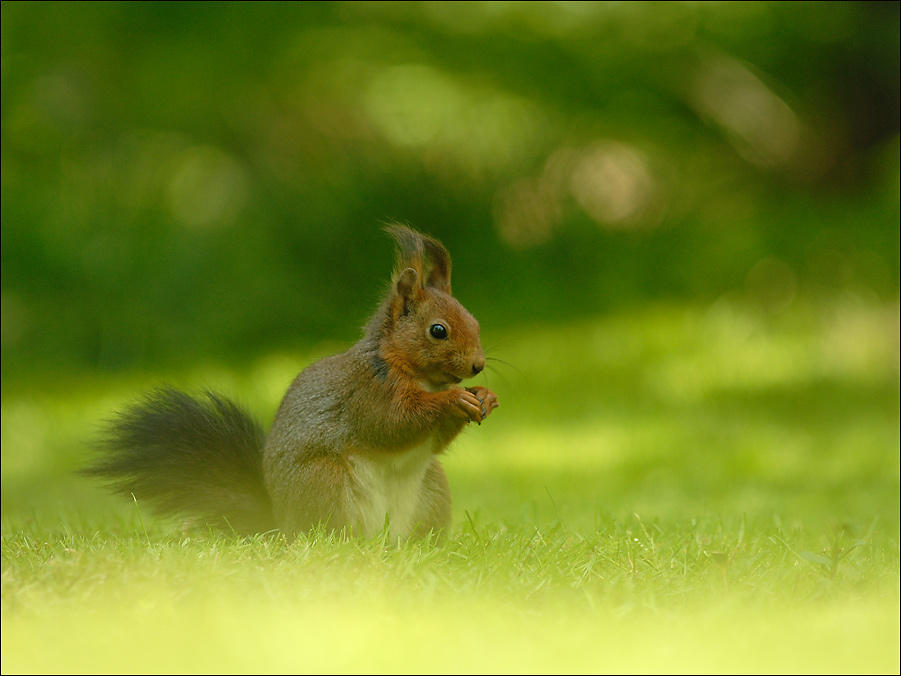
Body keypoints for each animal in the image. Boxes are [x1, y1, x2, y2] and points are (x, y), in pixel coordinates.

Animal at [85, 227, 500, 544]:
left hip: (432, 488)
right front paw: (454, 399)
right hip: (325, 481)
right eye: (438, 330)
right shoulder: (366, 392)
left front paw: (485, 397)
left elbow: (433, 440)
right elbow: (392, 423)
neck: (422, 377)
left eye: (475, 321)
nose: (478, 365)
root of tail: (280, 523)